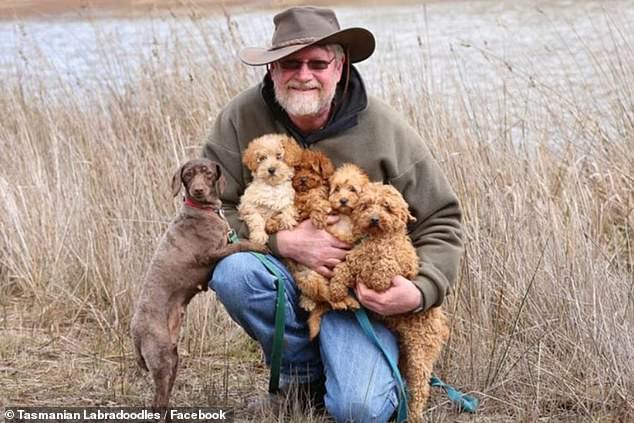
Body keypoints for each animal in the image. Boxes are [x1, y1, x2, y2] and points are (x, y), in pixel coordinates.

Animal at [131, 158, 264, 410]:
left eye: (208, 174)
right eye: (188, 175)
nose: (198, 190)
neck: (203, 211)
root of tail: (135, 332)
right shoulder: (209, 255)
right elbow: (239, 245)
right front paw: (259, 246)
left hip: (172, 359)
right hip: (162, 360)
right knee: (158, 404)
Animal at [328, 183, 446, 423]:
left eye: (387, 208)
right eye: (366, 205)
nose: (374, 219)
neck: (377, 239)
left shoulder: (396, 265)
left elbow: (384, 268)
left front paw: (376, 277)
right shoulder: (355, 258)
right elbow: (344, 269)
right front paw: (336, 291)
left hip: (420, 354)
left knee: (420, 390)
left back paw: (413, 416)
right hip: (405, 354)